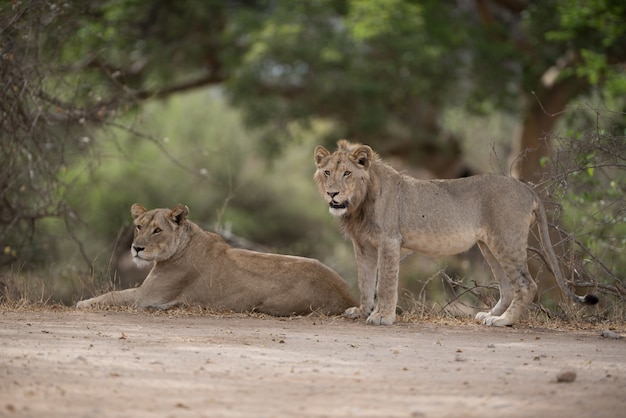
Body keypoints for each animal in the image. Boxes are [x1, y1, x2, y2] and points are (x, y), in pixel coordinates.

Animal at [312, 140, 596, 326]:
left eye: (347, 173)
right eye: (327, 172)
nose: (332, 193)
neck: (358, 205)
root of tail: (527, 189)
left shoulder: (389, 241)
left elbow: (384, 284)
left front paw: (382, 316)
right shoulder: (363, 245)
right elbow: (365, 281)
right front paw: (362, 311)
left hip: (507, 241)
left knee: (527, 285)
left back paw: (503, 321)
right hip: (489, 245)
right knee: (507, 286)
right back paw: (490, 315)